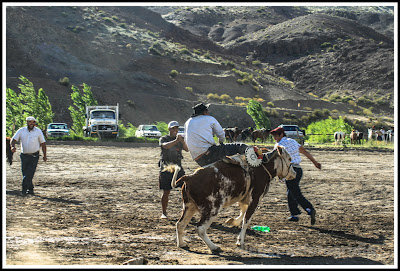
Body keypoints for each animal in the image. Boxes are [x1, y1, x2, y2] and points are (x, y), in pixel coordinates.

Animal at [167, 147, 296, 255]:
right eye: (289, 159)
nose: (294, 173)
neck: (262, 167)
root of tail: (189, 177)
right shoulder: (255, 198)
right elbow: (246, 220)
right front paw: (240, 241)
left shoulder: (244, 199)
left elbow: (242, 213)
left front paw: (232, 221)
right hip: (212, 210)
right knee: (200, 229)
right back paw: (214, 247)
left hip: (189, 206)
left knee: (180, 224)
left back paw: (182, 244)